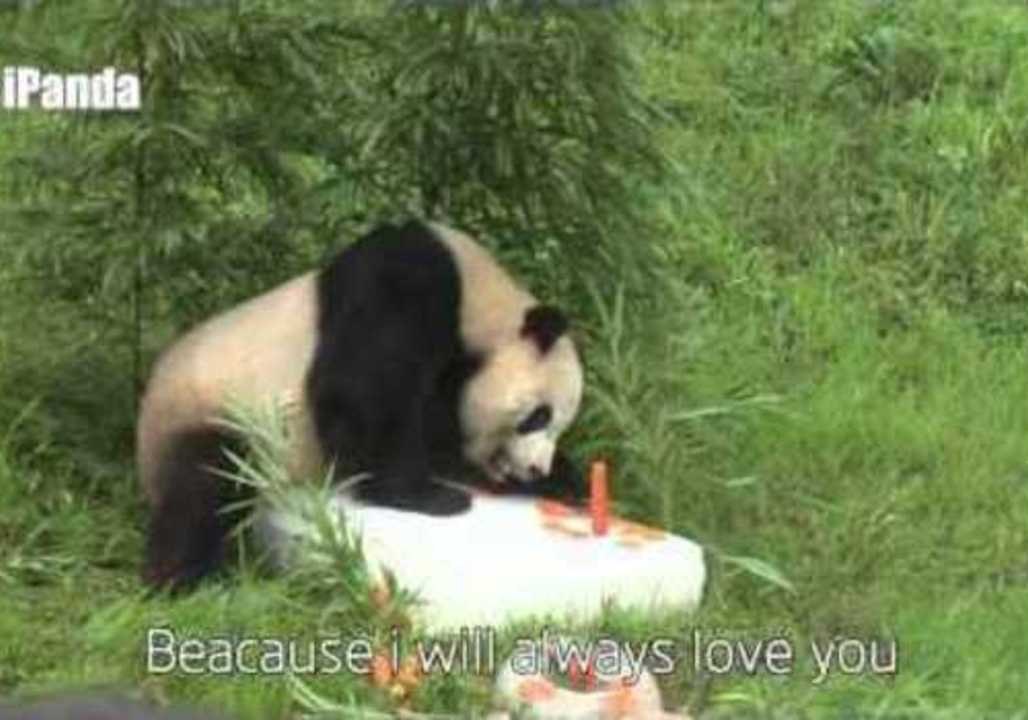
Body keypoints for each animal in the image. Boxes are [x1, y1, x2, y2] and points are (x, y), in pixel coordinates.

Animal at [138, 219, 586, 590]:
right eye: (537, 417)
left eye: (558, 426)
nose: (535, 468)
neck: (481, 302)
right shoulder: (405, 286)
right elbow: (363, 394)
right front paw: (427, 496)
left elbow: (438, 430)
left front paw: (566, 481)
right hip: (216, 412)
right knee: (204, 487)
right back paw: (181, 579)